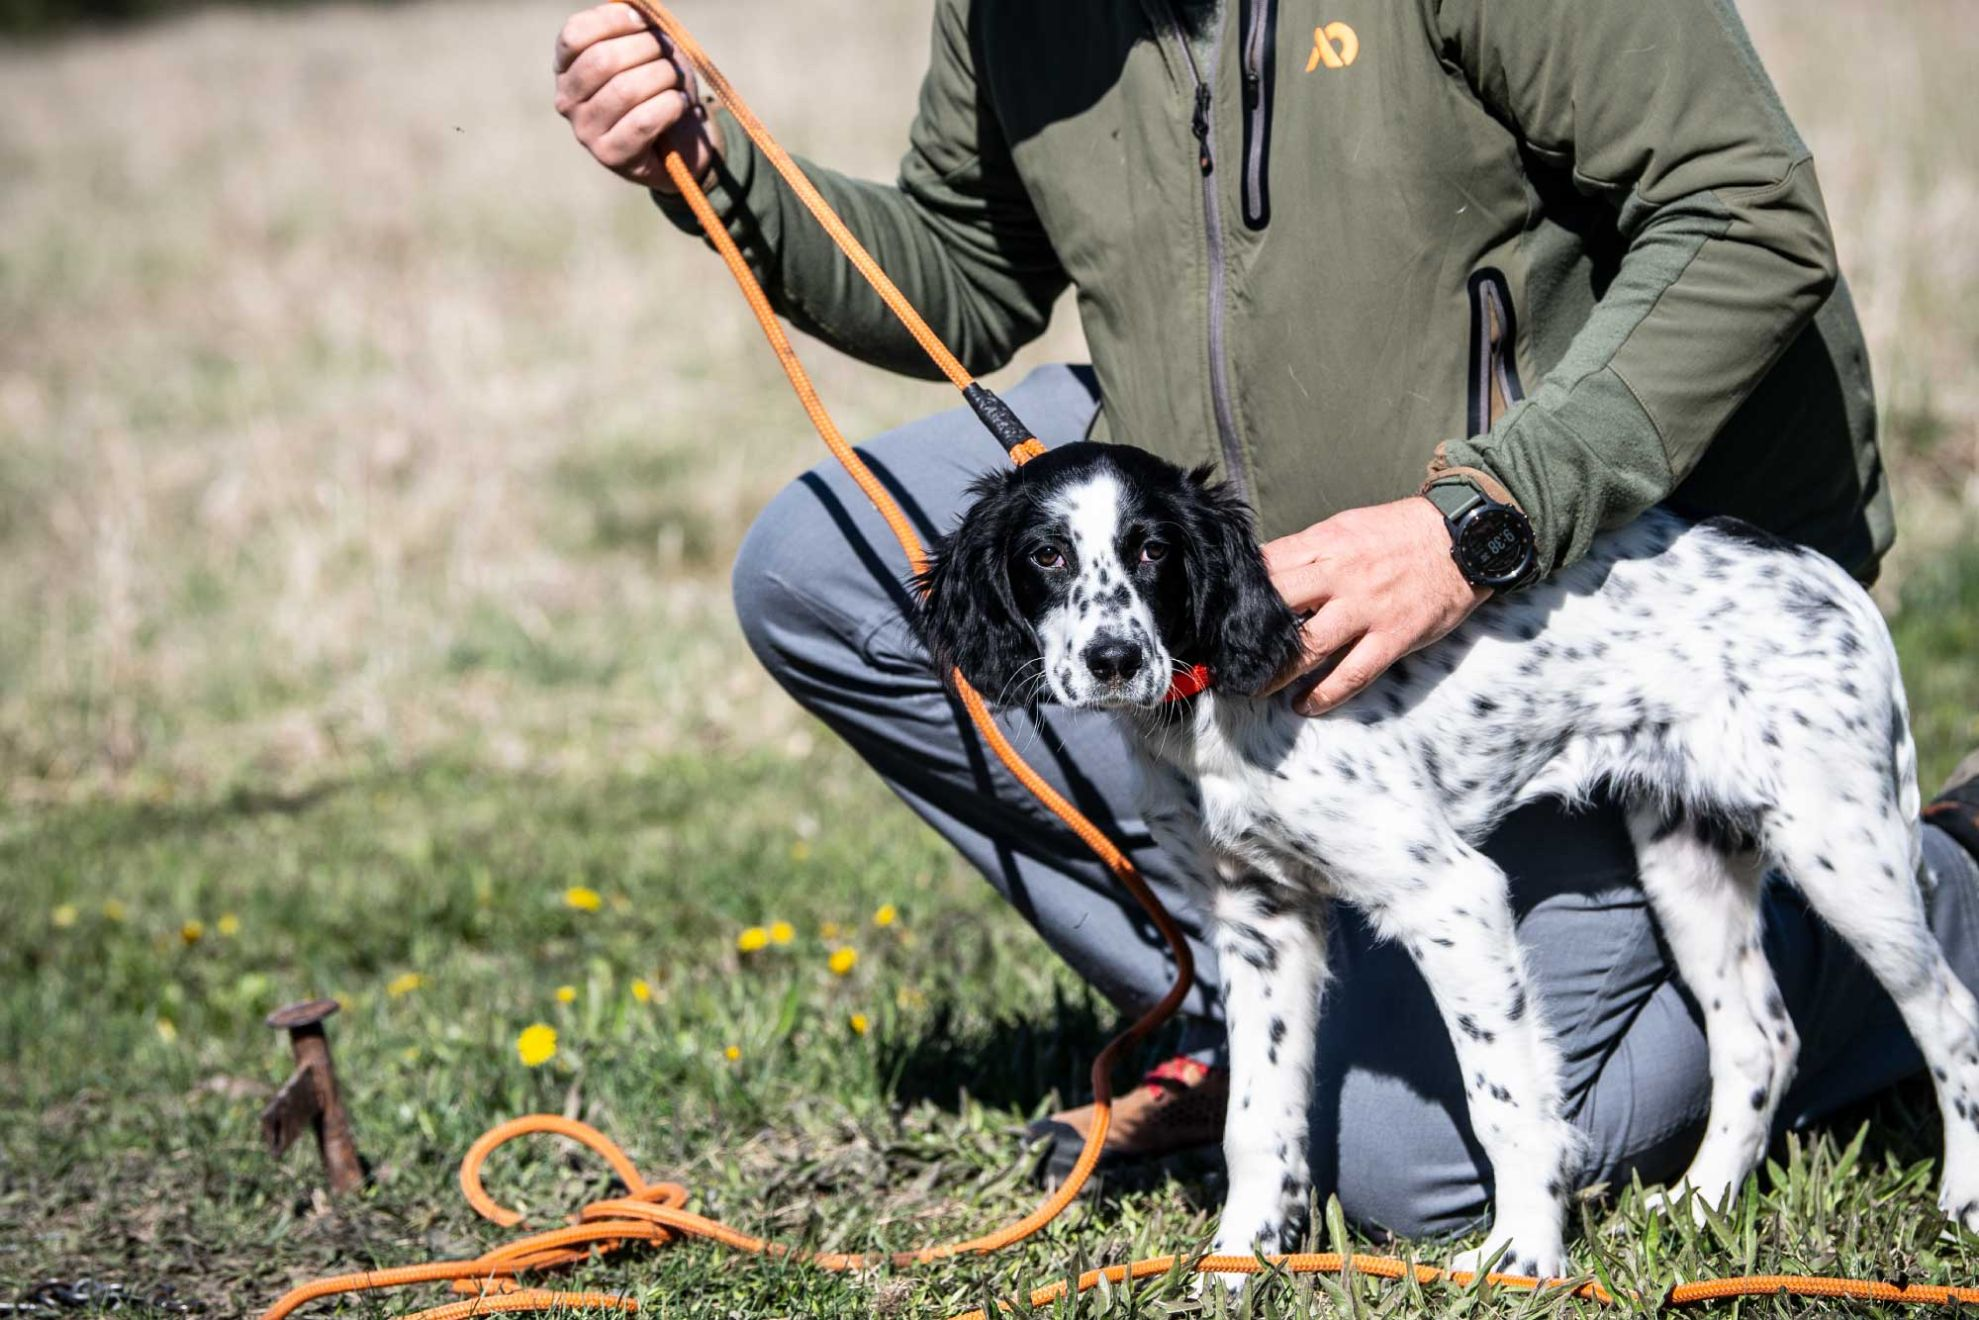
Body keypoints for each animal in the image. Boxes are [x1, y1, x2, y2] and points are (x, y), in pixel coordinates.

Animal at [910, 441, 1979, 1282]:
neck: (1211, 709)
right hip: (1689, 853)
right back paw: (1700, 1203)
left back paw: (1960, 1204)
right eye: (1045, 554)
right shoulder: (1260, 921)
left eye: (1152, 550)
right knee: (1761, 1036)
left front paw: (1523, 1260)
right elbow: (1257, 1119)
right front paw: (1237, 1262)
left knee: (1948, 1017)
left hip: (1839, 841)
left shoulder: (1448, 895)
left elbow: (1505, 1102)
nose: (1114, 661)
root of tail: (1820, 571)